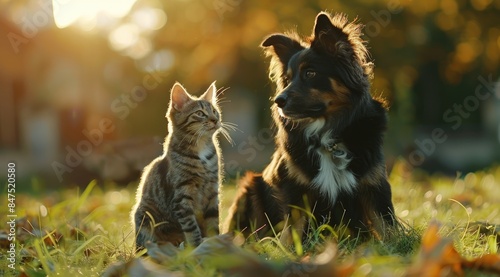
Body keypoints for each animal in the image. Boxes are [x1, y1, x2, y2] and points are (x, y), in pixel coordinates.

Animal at [132, 81, 228, 248]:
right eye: (200, 113)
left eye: (215, 111)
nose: (215, 120)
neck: (201, 149)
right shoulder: (181, 195)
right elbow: (191, 226)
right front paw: (196, 246)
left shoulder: (212, 190)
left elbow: (213, 222)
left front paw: (214, 242)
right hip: (144, 215)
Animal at [226, 11, 394, 239]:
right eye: (287, 79)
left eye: (310, 73)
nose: (278, 101)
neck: (327, 134)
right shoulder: (294, 190)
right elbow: (292, 231)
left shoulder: (374, 185)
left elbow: (386, 224)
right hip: (250, 186)